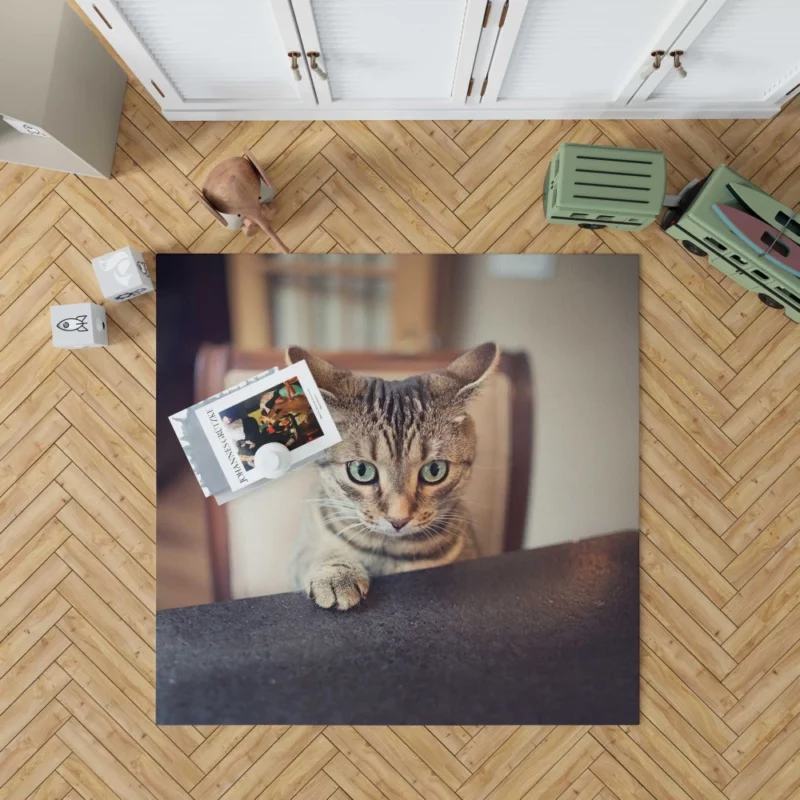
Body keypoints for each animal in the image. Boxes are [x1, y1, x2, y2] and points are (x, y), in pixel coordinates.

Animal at [288, 340, 496, 608]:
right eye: (361, 470)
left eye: (435, 470)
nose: (398, 520)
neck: (388, 552)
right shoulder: (303, 549)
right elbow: (317, 554)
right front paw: (337, 574)